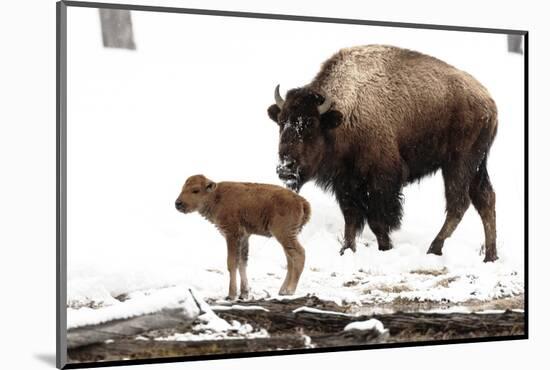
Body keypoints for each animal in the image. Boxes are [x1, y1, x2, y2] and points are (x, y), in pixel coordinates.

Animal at [268, 44, 500, 262]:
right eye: (281, 122)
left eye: (310, 124)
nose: (285, 168)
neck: (344, 115)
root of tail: (489, 102)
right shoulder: (346, 183)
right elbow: (351, 217)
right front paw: (347, 250)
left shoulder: (381, 181)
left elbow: (377, 221)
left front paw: (385, 248)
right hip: (476, 165)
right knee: (485, 199)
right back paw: (490, 256)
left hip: (458, 163)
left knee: (458, 203)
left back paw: (435, 248)